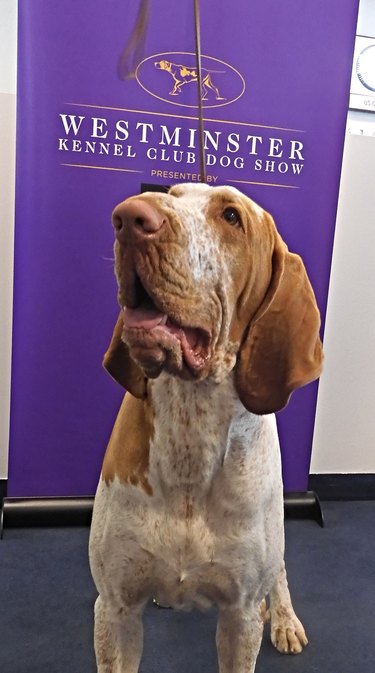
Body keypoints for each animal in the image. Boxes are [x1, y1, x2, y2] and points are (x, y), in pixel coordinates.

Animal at [89, 182, 324, 672]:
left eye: (231, 217)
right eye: (170, 194)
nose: (128, 217)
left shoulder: (240, 615)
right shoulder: (115, 608)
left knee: (280, 571)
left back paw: (285, 618)